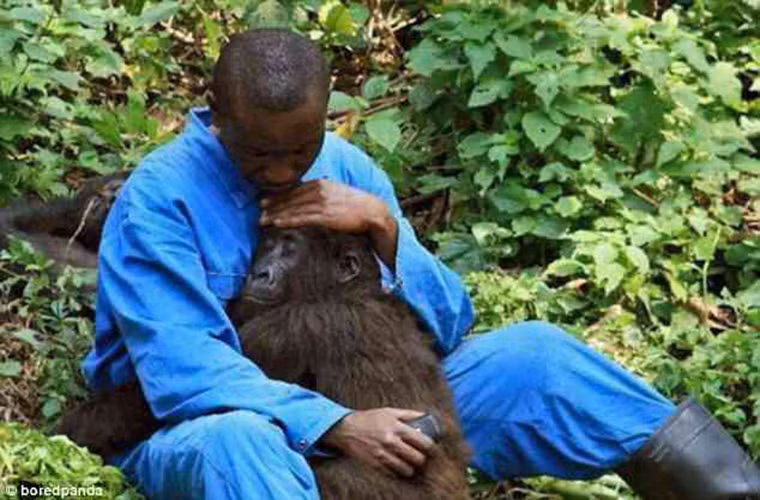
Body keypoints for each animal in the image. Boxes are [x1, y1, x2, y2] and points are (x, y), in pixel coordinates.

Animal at [58, 226, 472, 500]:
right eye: (265, 248)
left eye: (289, 249)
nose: (258, 272)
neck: (351, 290)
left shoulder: (293, 326)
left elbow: (177, 393)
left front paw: (76, 427)